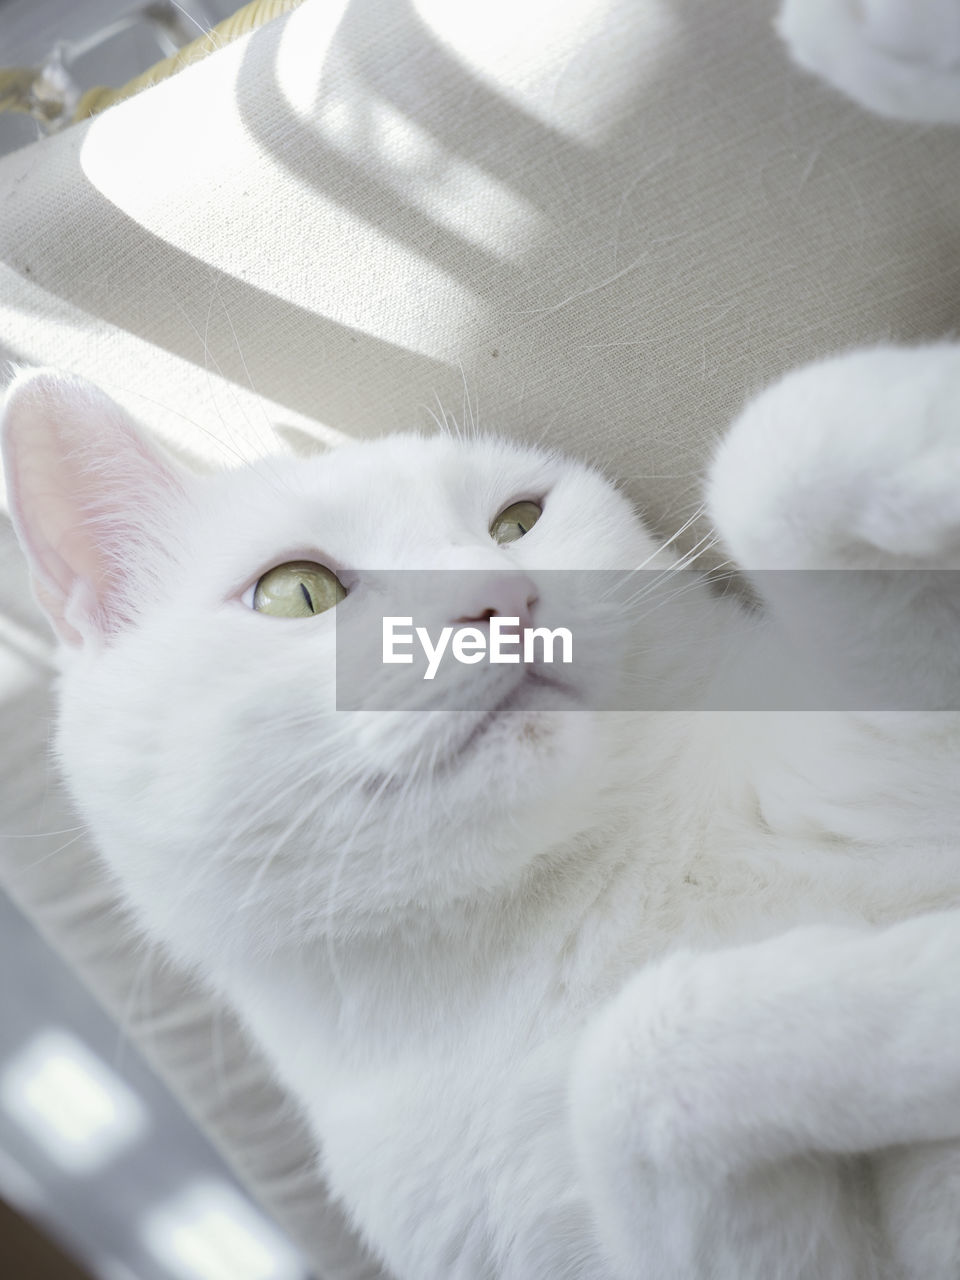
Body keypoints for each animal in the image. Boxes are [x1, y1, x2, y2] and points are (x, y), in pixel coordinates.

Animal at [5, 335, 960, 1274]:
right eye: (297, 591)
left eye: (518, 522)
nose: (501, 597)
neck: (581, 897)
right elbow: (634, 1060)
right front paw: (933, 989)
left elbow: (769, 448)